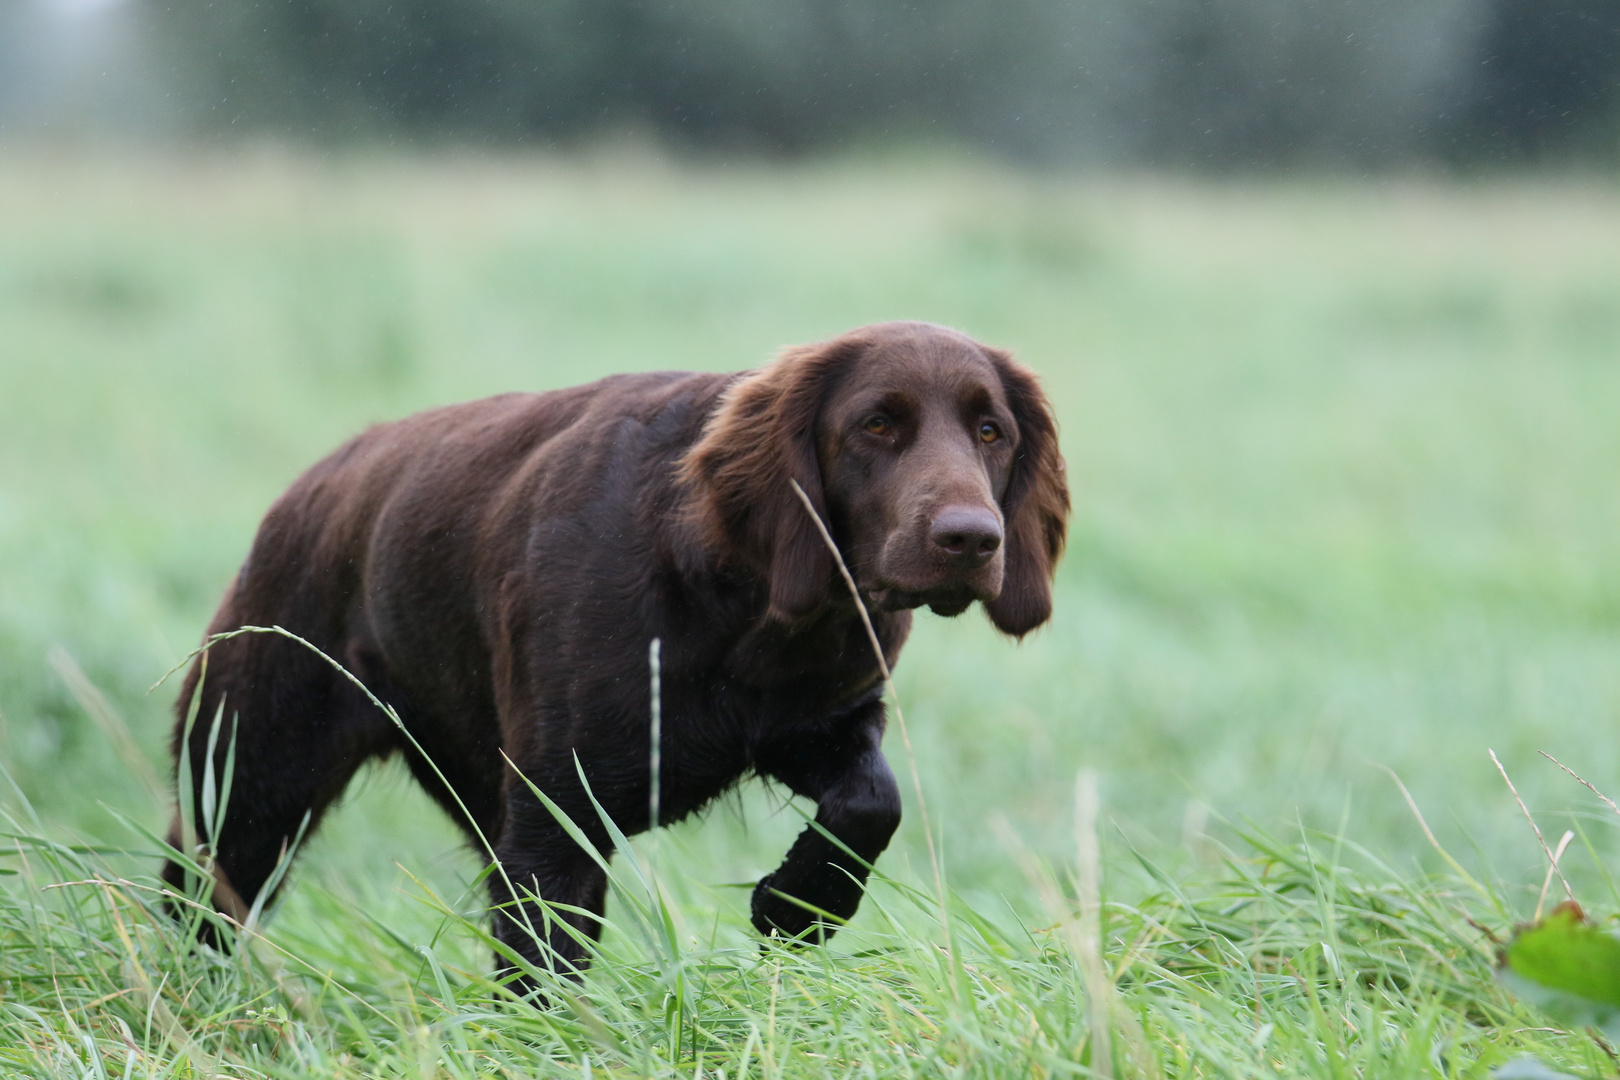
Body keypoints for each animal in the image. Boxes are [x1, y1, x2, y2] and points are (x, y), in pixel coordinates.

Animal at [164, 318, 1069, 977]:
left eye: (991, 431)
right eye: (876, 424)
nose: (971, 539)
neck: (742, 609)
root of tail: (310, 487)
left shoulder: (819, 724)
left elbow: (873, 803)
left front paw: (798, 904)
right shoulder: (554, 814)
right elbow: (542, 963)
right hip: (248, 780)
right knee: (199, 902)